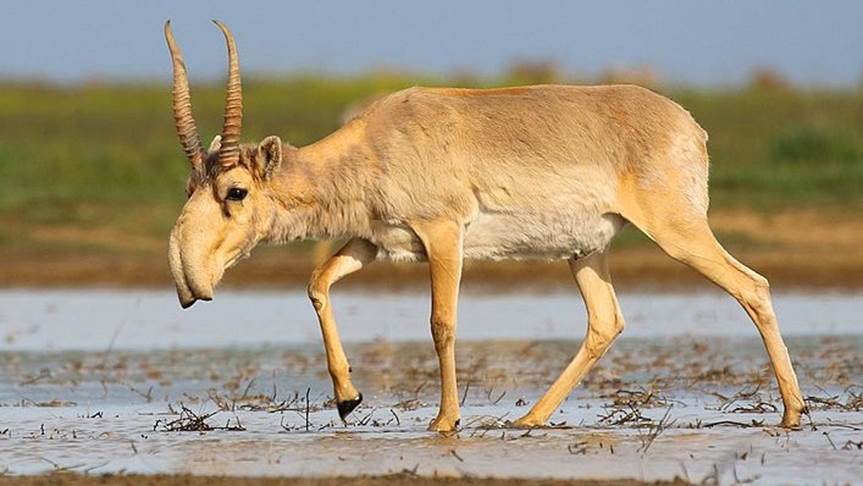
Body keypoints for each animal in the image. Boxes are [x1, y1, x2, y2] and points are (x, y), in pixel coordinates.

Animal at [165, 20, 808, 430]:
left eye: (236, 191)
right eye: (190, 187)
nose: (188, 280)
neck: (375, 142)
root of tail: (690, 126)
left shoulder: (444, 235)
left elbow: (441, 323)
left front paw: (444, 421)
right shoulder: (374, 242)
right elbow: (317, 283)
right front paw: (348, 399)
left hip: (678, 232)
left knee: (752, 286)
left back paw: (793, 412)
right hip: (585, 252)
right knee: (606, 321)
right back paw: (529, 419)